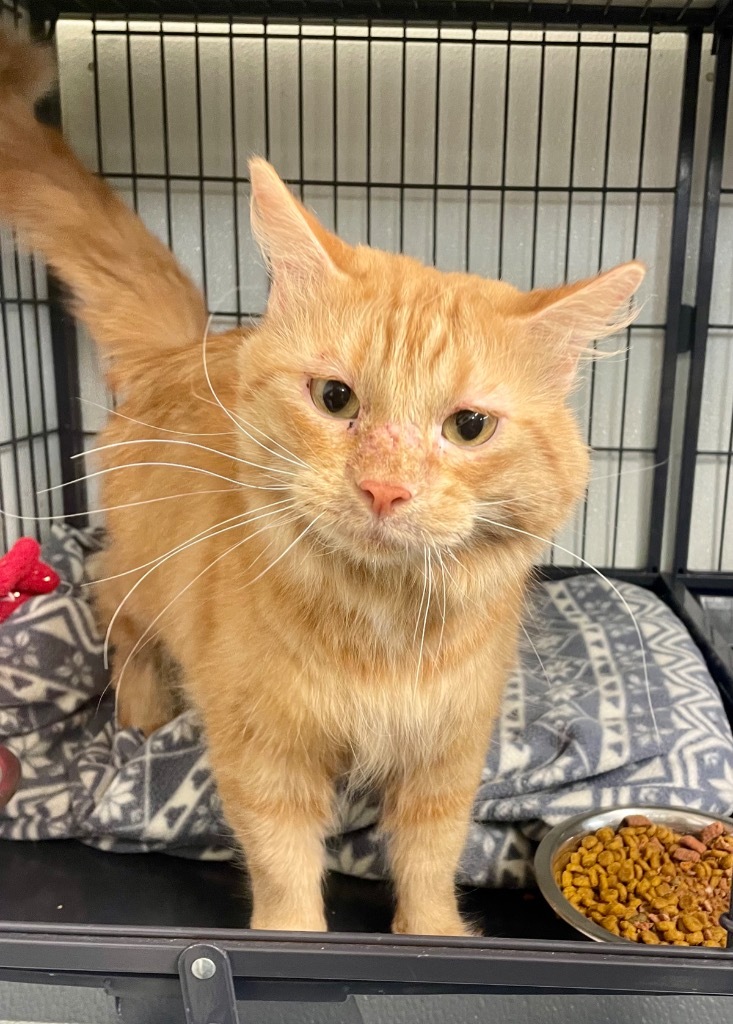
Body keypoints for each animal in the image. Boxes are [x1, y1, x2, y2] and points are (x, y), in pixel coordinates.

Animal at [0, 28, 642, 933]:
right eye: (335, 399)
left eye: (467, 427)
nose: (383, 489)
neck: (379, 633)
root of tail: (188, 347)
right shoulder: (264, 753)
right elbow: (283, 864)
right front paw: (293, 934)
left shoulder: (448, 753)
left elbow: (430, 857)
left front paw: (431, 935)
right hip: (137, 576)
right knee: (113, 614)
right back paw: (145, 715)